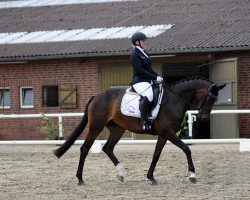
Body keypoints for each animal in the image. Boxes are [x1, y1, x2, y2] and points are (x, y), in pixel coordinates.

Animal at [53, 77, 226, 186]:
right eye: (210, 98)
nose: (204, 118)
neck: (176, 99)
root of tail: (96, 97)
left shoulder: (163, 135)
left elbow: (156, 155)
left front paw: (151, 178)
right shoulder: (169, 132)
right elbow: (186, 149)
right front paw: (192, 176)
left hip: (118, 129)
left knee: (108, 148)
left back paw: (121, 174)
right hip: (96, 126)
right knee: (85, 148)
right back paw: (80, 179)